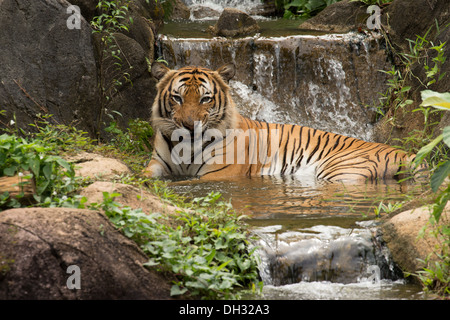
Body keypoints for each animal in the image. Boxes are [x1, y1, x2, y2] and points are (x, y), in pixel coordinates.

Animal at [144, 62, 426, 181]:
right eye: (177, 98)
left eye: (205, 99)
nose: (189, 126)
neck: (185, 147)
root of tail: (408, 153)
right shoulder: (157, 163)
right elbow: (145, 176)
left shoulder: (219, 174)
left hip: (340, 170)